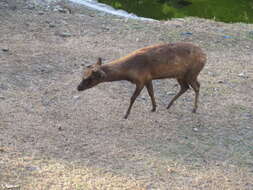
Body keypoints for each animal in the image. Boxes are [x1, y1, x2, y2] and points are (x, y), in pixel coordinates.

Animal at [76, 42, 206, 118]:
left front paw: (126, 114)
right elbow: (151, 93)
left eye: (89, 78)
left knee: (196, 86)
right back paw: (169, 105)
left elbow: (133, 98)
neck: (128, 72)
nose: (78, 87)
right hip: (181, 75)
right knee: (186, 87)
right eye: (83, 74)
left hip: (192, 73)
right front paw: (154, 107)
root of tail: (205, 56)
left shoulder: (141, 79)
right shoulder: (148, 78)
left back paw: (194, 109)